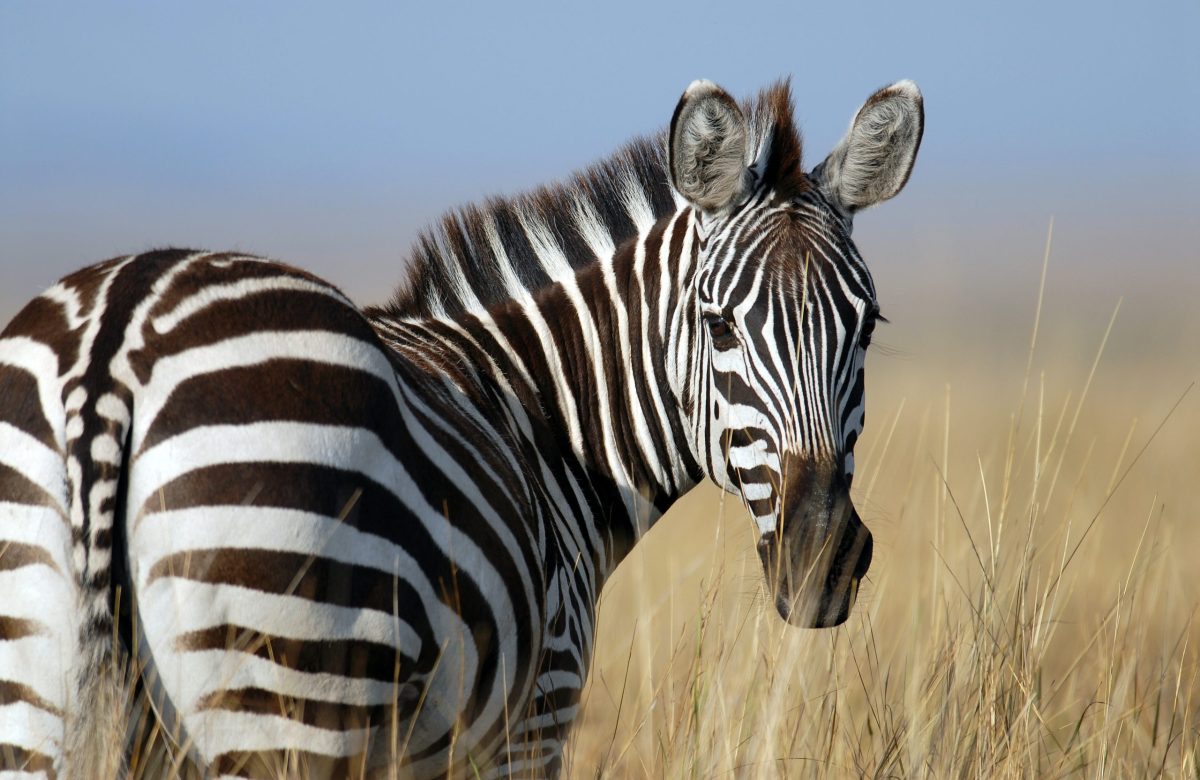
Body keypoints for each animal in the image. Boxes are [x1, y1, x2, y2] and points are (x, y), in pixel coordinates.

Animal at [0, 77, 922, 777]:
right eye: (720, 326)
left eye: (867, 326)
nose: (822, 560)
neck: (548, 423)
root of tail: (115, 341)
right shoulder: (533, 714)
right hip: (283, 693)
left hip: (41, 695)